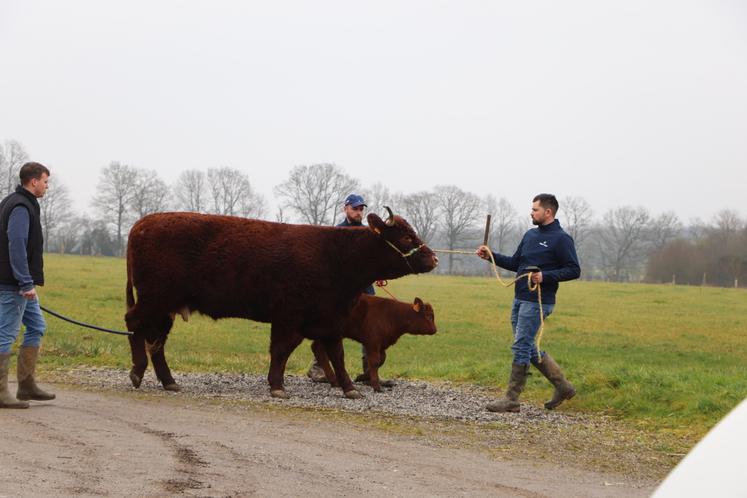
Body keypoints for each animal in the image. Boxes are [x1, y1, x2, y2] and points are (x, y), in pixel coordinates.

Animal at [123, 208, 438, 398]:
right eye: (406, 236)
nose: (433, 257)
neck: (336, 256)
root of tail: (143, 222)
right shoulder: (289, 316)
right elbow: (282, 350)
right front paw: (277, 385)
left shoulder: (330, 318)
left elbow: (336, 353)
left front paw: (349, 387)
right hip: (154, 300)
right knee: (134, 324)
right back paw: (137, 371)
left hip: (165, 308)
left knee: (156, 341)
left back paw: (168, 381)